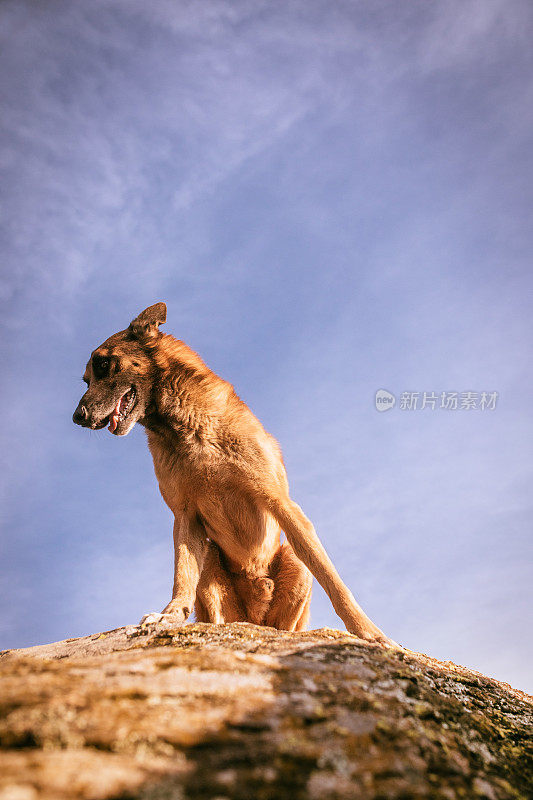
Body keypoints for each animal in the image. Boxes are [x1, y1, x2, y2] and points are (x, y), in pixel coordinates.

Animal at [72, 300, 392, 644]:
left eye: (103, 364)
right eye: (86, 379)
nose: (78, 417)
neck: (185, 429)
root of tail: (255, 618)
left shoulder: (282, 505)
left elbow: (333, 579)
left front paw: (369, 631)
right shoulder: (185, 518)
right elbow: (181, 576)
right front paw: (169, 615)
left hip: (291, 555)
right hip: (211, 558)